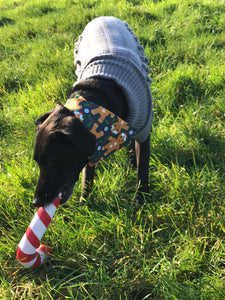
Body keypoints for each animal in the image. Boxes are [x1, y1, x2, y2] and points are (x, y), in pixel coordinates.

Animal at [32, 17, 153, 209]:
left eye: (52, 163)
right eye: (37, 163)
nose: (36, 202)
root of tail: (104, 17)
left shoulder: (144, 129)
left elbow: (143, 169)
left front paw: (140, 201)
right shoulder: (91, 147)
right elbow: (87, 176)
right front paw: (85, 203)